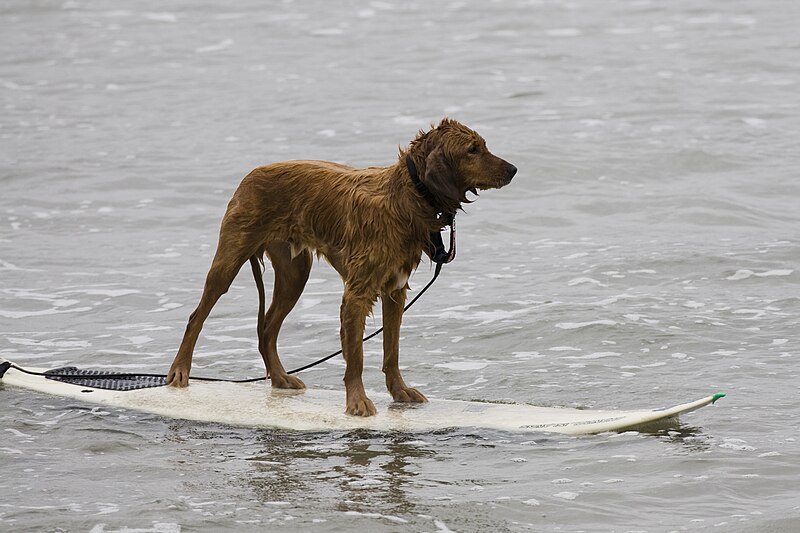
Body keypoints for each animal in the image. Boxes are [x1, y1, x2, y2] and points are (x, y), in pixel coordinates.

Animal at [169, 119, 520, 416]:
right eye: (472, 150)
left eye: (483, 146)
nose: (514, 169)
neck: (405, 197)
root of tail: (251, 174)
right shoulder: (357, 293)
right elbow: (357, 356)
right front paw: (357, 402)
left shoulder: (395, 290)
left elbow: (392, 351)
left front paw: (399, 392)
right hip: (230, 258)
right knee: (197, 316)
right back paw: (180, 371)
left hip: (296, 273)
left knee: (267, 328)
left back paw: (281, 378)